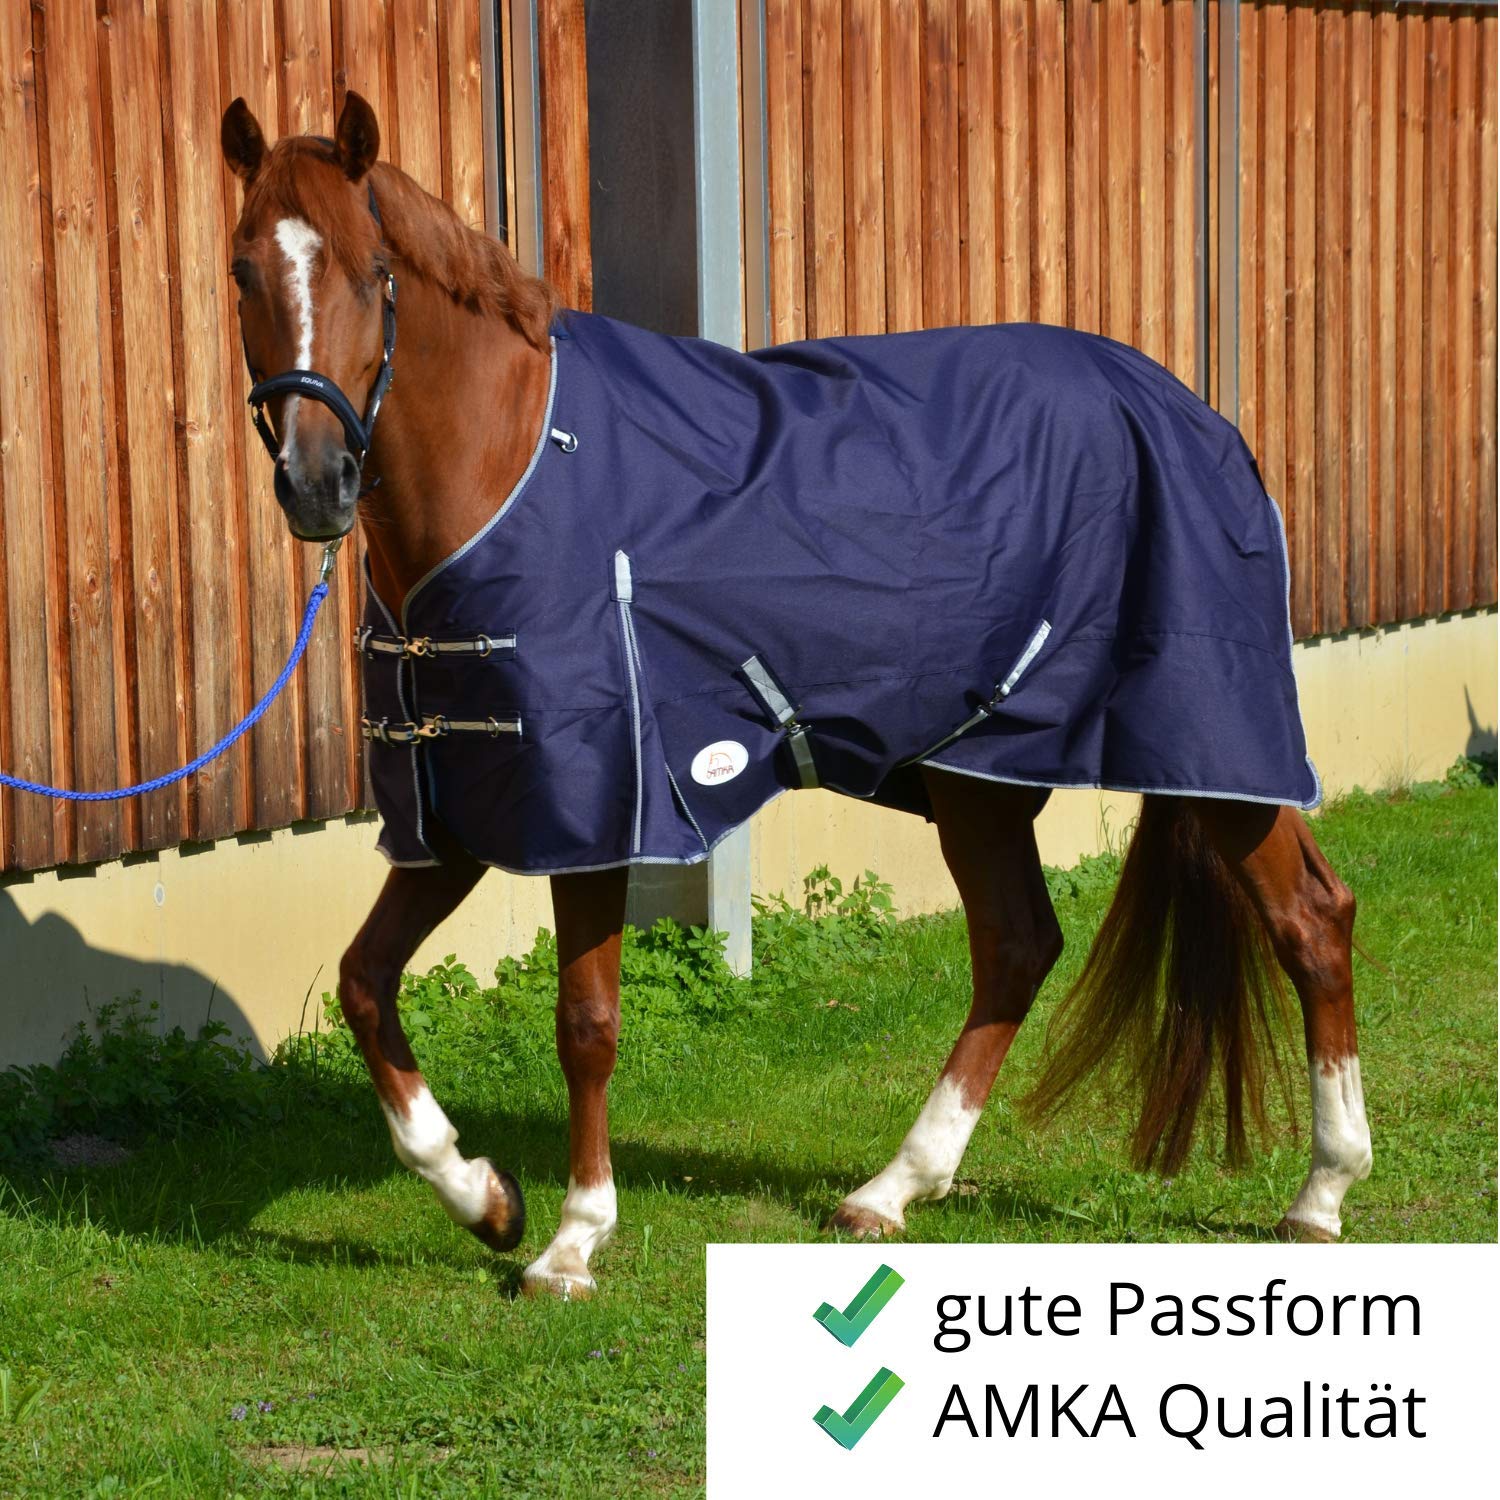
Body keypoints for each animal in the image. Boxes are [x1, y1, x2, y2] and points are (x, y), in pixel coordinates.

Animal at [220, 92, 1371, 1297]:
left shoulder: (595, 805)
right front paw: (483, 1196)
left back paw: (1322, 1193)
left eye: (370, 272)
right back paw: (894, 1188)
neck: (514, 467)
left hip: (1208, 746)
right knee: (1018, 945)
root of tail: (1193, 415)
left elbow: (585, 1021)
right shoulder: (467, 806)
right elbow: (363, 983)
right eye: (245, 269)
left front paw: (573, 1239)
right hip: (981, 771)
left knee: (1311, 920)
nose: (316, 483)